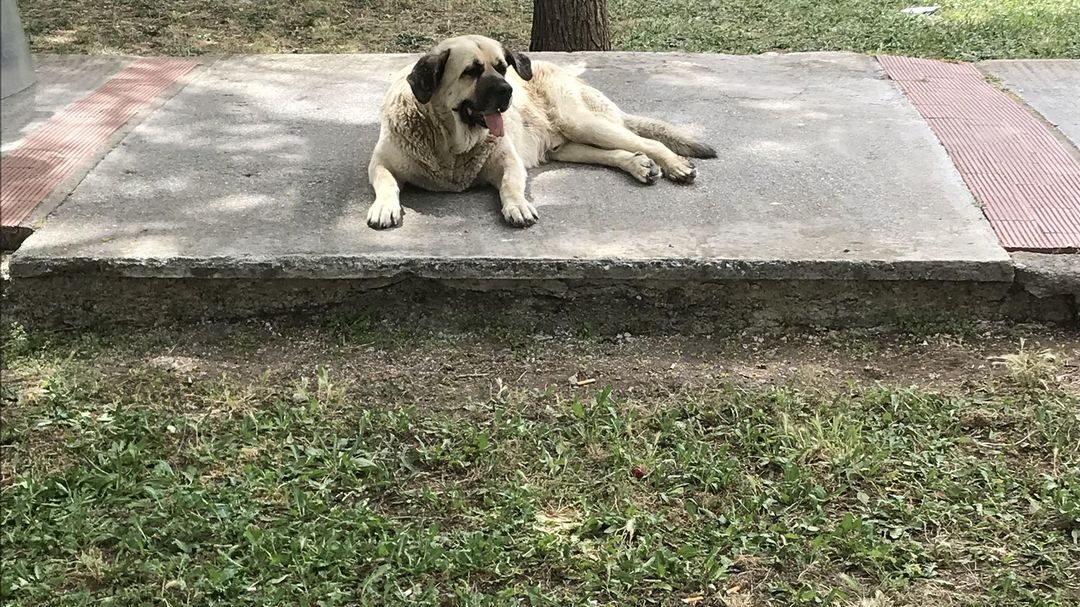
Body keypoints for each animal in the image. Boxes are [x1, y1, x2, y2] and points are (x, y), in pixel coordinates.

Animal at [365, 35, 717, 228]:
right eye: (471, 72)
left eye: (502, 67)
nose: (507, 91)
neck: (450, 143)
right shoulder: (381, 163)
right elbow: (386, 183)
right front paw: (385, 207)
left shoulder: (508, 162)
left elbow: (510, 184)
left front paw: (517, 206)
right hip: (569, 147)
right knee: (615, 152)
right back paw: (638, 164)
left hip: (582, 122)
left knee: (647, 141)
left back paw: (675, 165)